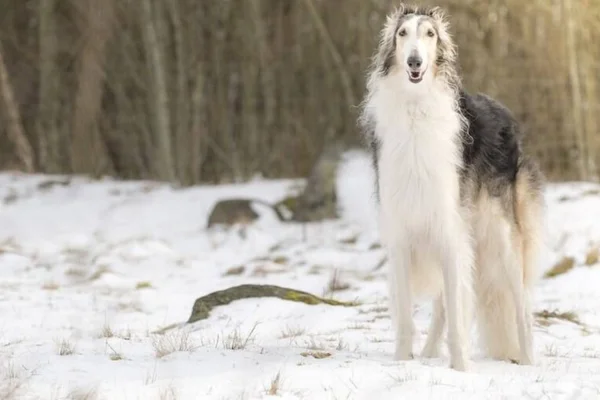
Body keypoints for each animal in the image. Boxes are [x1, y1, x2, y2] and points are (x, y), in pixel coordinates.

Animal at [358, 3, 548, 372]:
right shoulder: (403, 232)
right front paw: (402, 362)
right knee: (445, 305)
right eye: (402, 34)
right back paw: (429, 352)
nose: (414, 62)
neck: (416, 108)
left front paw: (461, 370)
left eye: (430, 34)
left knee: (520, 303)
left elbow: (459, 311)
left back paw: (529, 360)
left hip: (501, 235)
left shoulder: (449, 228)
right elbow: (407, 316)